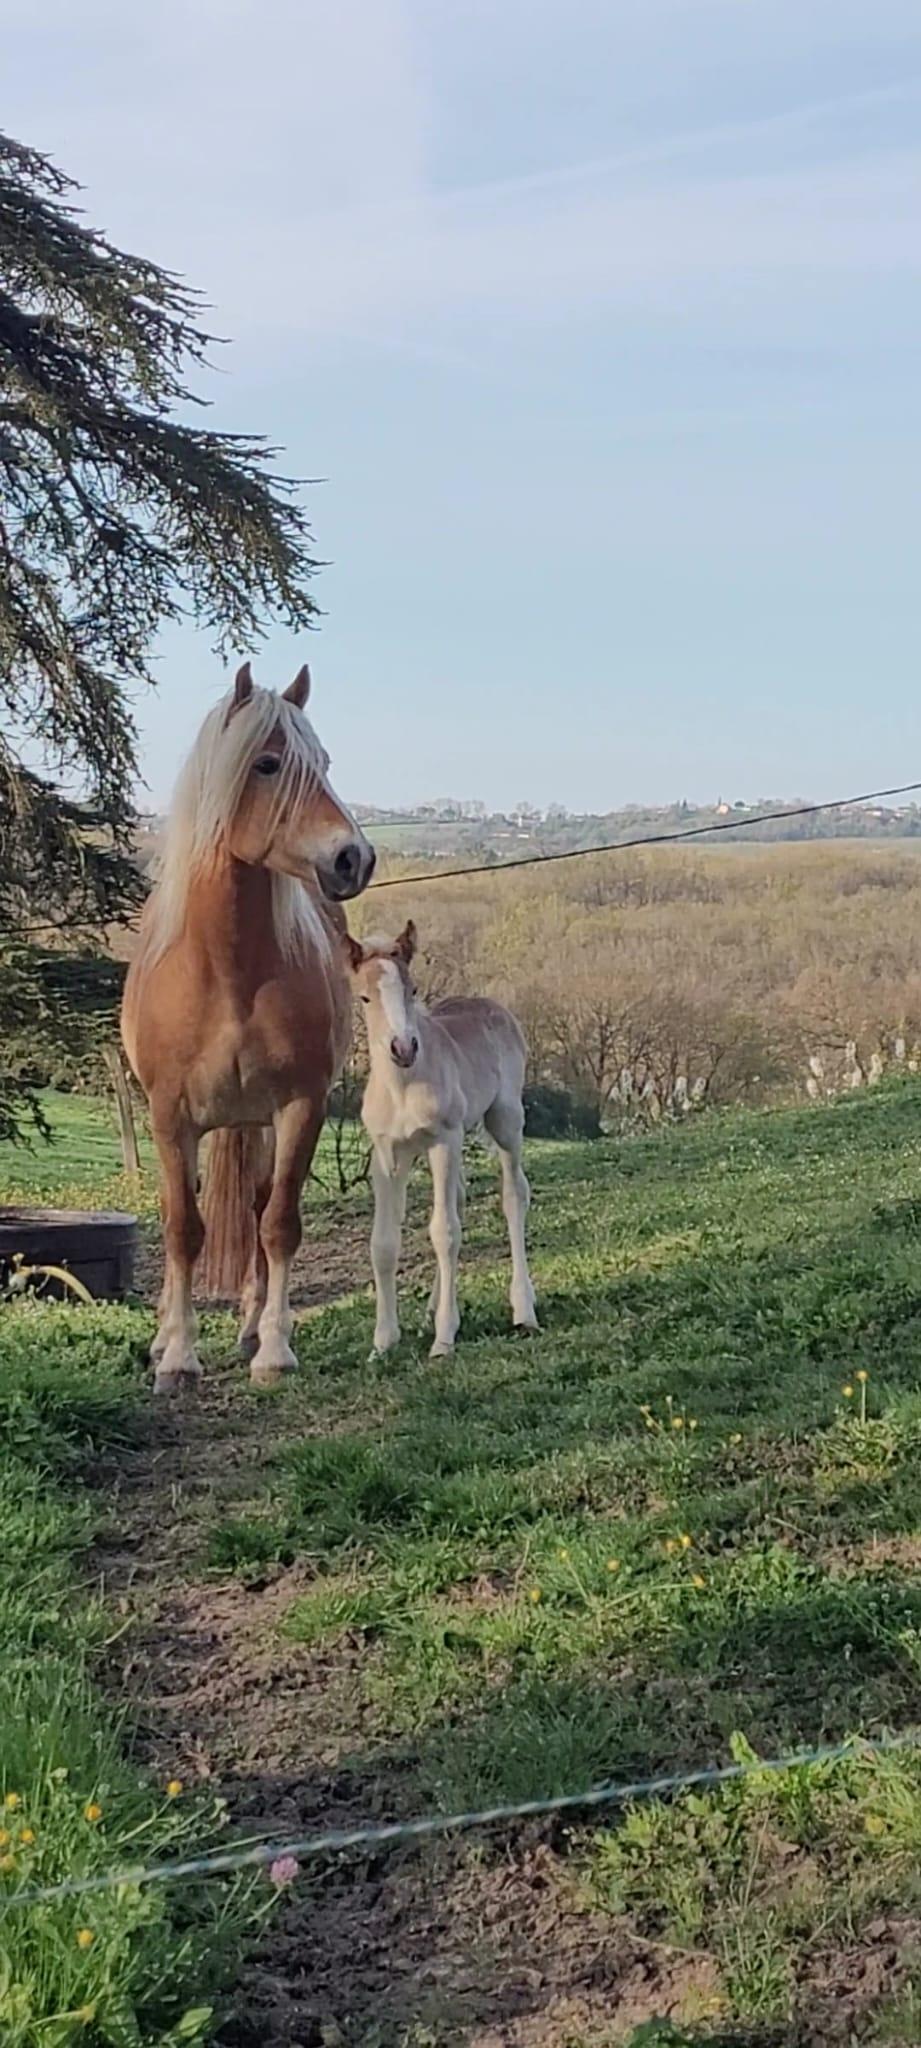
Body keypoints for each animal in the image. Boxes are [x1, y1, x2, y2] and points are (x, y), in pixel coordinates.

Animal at [121, 660, 375, 1393]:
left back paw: (251, 1325)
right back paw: (164, 1338)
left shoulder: (300, 1107)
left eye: (323, 762)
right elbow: (182, 1228)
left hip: (258, 1122)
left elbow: (278, 1224)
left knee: (260, 1208)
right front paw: (177, 1357)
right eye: (267, 764)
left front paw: (273, 1349)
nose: (353, 859)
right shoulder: (170, 1117)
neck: (226, 973)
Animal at [344, 921, 539, 1359]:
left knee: (513, 1195)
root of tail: (493, 1006)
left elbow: (444, 1232)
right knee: (461, 1201)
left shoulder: (443, 1141)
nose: (403, 1048)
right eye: (364, 996)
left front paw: (444, 1337)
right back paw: (433, 1307)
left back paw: (524, 1309)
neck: (402, 1087)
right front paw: (383, 1342)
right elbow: (383, 1242)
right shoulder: (386, 1155)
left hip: (505, 1120)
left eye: (413, 989)